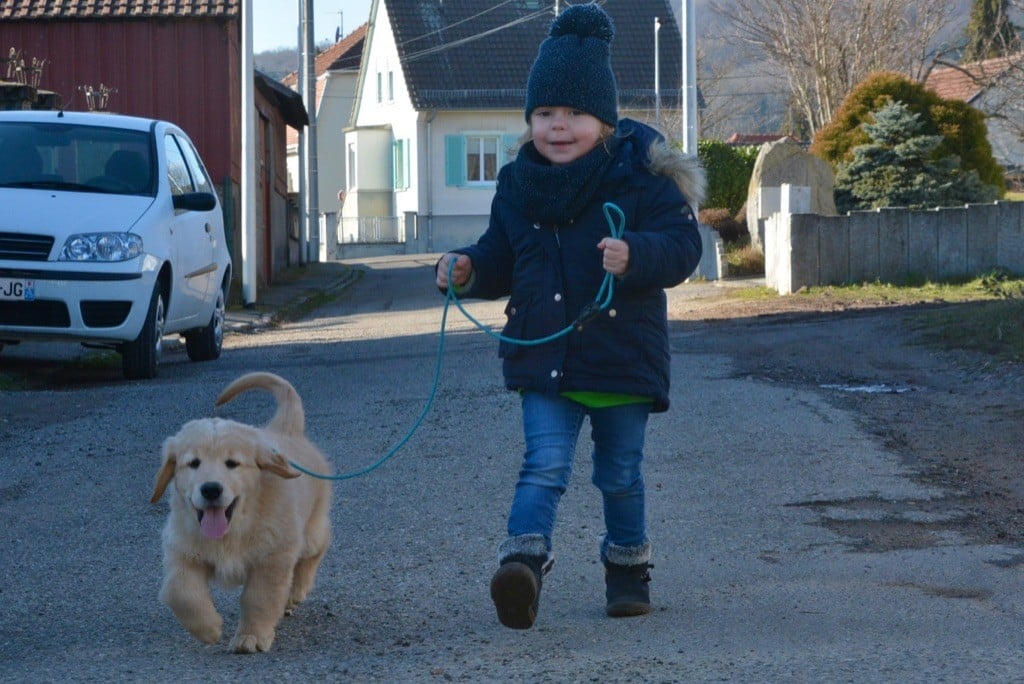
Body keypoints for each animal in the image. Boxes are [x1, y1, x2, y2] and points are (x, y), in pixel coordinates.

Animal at [149, 370, 331, 655]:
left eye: (232, 463)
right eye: (193, 463)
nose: (211, 489)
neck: (235, 527)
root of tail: (283, 430)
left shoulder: (272, 557)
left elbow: (259, 598)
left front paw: (251, 636)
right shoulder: (183, 550)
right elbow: (180, 591)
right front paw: (208, 628)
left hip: (308, 533)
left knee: (318, 546)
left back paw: (297, 589)